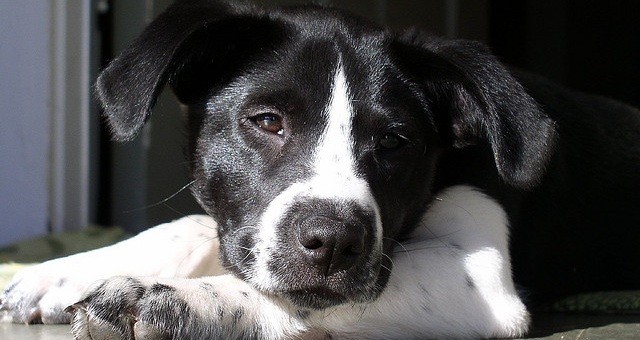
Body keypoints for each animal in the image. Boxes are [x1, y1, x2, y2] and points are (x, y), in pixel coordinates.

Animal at [1, 1, 640, 338]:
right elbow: (191, 228)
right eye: (267, 121)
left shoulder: (480, 278)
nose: (333, 243)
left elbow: (297, 299)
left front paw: (172, 300)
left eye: (395, 142)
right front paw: (62, 271)